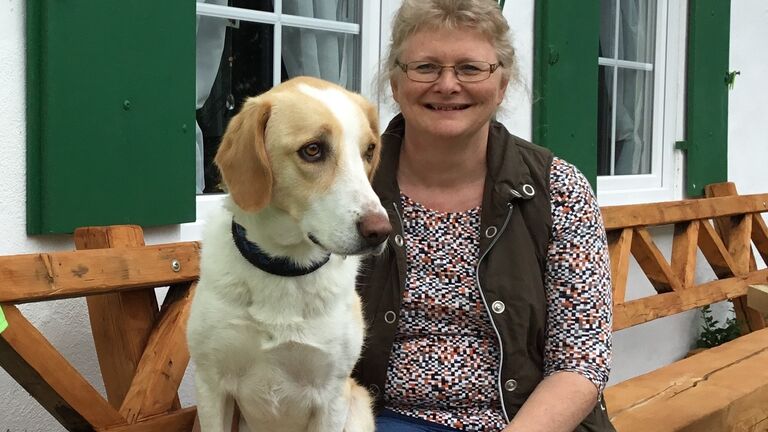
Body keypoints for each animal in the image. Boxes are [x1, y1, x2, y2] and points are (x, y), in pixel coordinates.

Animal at [186, 76, 390, 430]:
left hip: (358, 407)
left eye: (369, 150)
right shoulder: (211, 385)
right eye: (313, 150)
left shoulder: (332, 395)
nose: (381, 231)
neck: (285, 267)